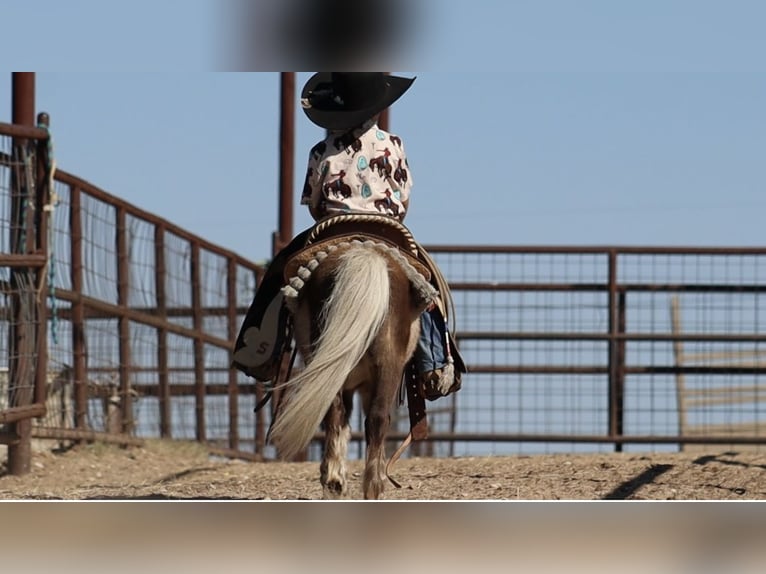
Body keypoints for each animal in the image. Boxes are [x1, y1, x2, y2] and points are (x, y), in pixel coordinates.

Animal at [268, 228, 437, 500]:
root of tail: (364, 257)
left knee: (336, 413)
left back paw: (334, 482)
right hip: (387, 366)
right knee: (377, 418)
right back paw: (373, 485)